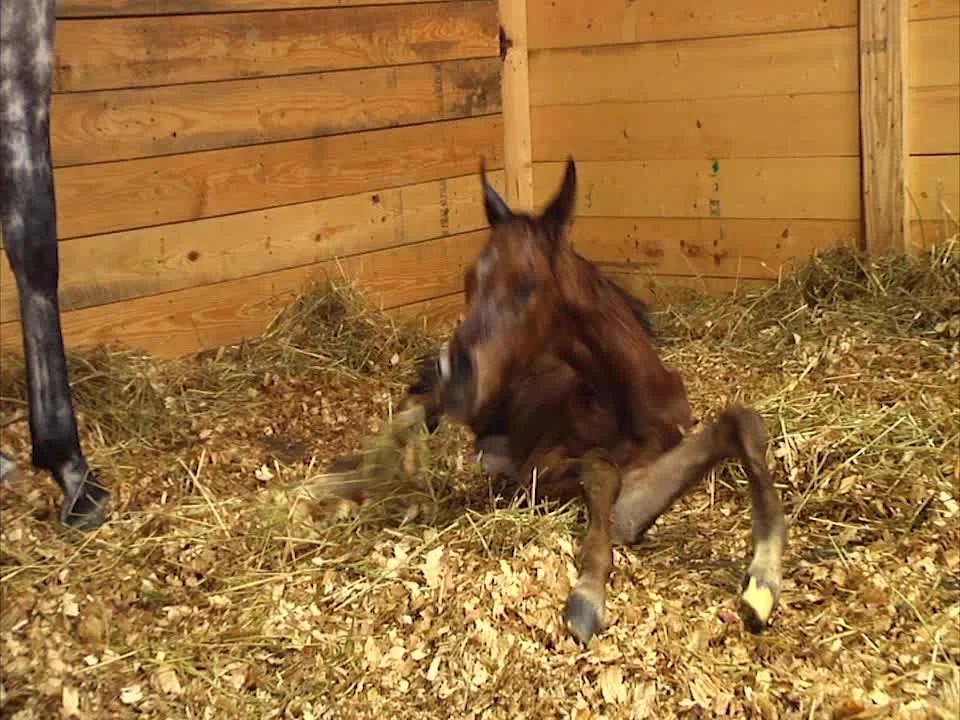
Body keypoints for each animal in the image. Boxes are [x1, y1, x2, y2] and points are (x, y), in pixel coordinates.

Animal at [398, 160, 788, 644]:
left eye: (527, 285)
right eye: (469, 281)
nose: (457, 376)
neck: (629, 407)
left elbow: (743, 421)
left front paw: (764, 580)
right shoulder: (536, 470)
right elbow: (600, 468)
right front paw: (587, 596)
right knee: (416, 404)